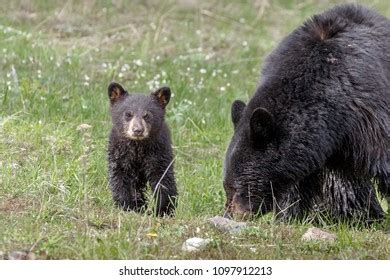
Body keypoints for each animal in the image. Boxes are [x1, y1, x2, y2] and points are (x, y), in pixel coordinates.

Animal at [108, 82, 178, 215]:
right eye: (128, 114)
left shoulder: (159, 152)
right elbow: (119, 177)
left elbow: (163, 178)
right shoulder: (119, 154)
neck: (138, 148)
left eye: (147, 115)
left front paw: (163, 210)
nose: (138, 130)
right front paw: (126, 206)